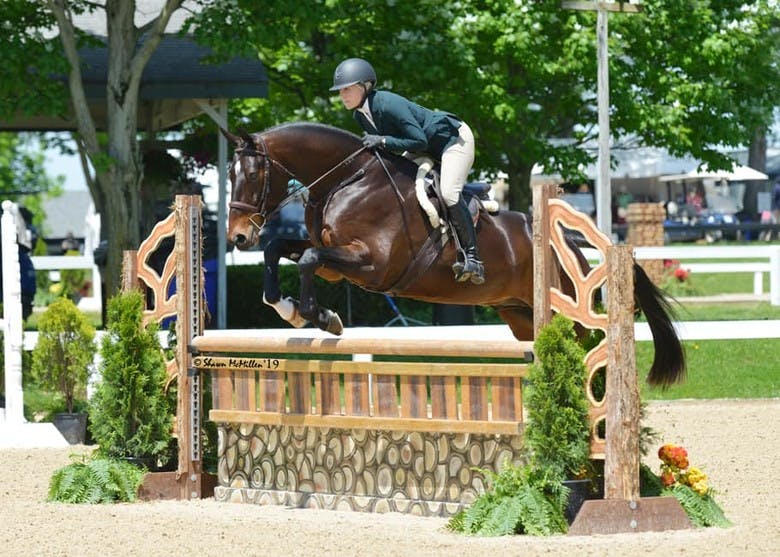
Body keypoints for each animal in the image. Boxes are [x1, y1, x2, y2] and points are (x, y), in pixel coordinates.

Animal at [223, 122, 685, 387]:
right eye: (229, 174)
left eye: (253, 174)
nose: (238, 237)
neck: (345, 179)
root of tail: (572, 244)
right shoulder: (334, 260)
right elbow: (280, 250)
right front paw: (286, 308)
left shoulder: (371, 264)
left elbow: (307, 261)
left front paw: (322, 318)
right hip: (519, 316)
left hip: (561, 310)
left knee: (585, 344)